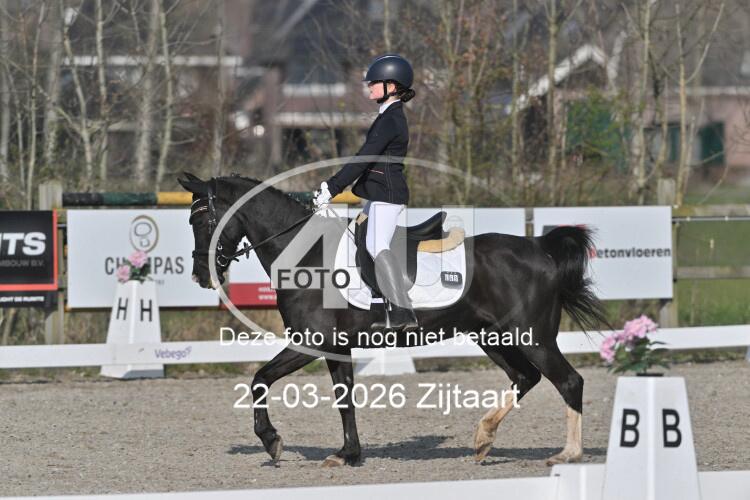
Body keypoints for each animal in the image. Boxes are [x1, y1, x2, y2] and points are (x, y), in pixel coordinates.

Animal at [178, 173, 608, 467]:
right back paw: (483, 439)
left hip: (533, 337)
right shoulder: (336, 348)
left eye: (200, 222)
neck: (306, 256)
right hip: (493, 337)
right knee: (525, 377)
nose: (200, 275)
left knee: (568, 381)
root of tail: (539, 248)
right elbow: (345, 399)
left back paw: (567, 454)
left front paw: (271, 441)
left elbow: (260, 378)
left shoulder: (311, 343)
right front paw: (348, 454)